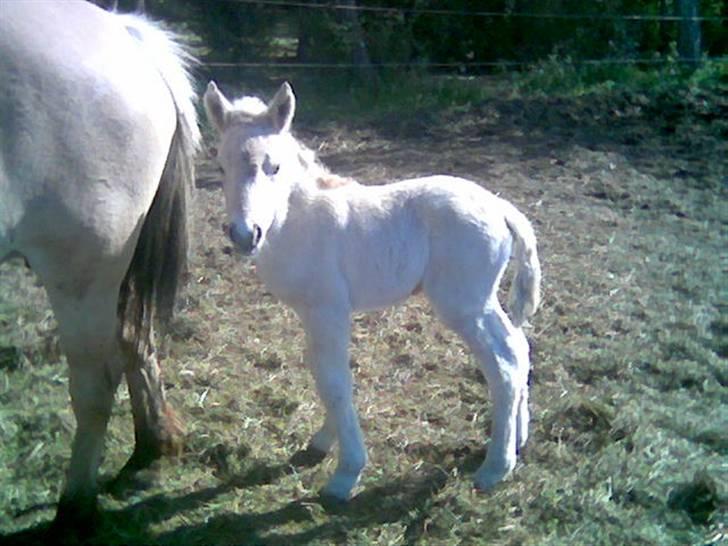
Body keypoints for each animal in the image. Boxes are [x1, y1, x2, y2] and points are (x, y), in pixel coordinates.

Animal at [0, 0, 199, 528]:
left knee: (95, 383)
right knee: (134, 339)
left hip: (81, 269)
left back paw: (75, 509)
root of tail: (126, 34)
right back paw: (149, 451)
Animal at [205, 79, 540, 498]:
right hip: (481, 300)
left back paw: (495, 467)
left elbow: (335, 381)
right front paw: (323, 441)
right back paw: (519, 438)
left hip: (463, 305)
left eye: (275, 167)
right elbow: (321, 372)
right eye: (220, 166)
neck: (295, 221)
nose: (244, 234)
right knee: (519, 346)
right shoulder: (311, 314)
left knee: (505, 362)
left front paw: (346, 473)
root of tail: (500, 207)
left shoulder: (329, 310)